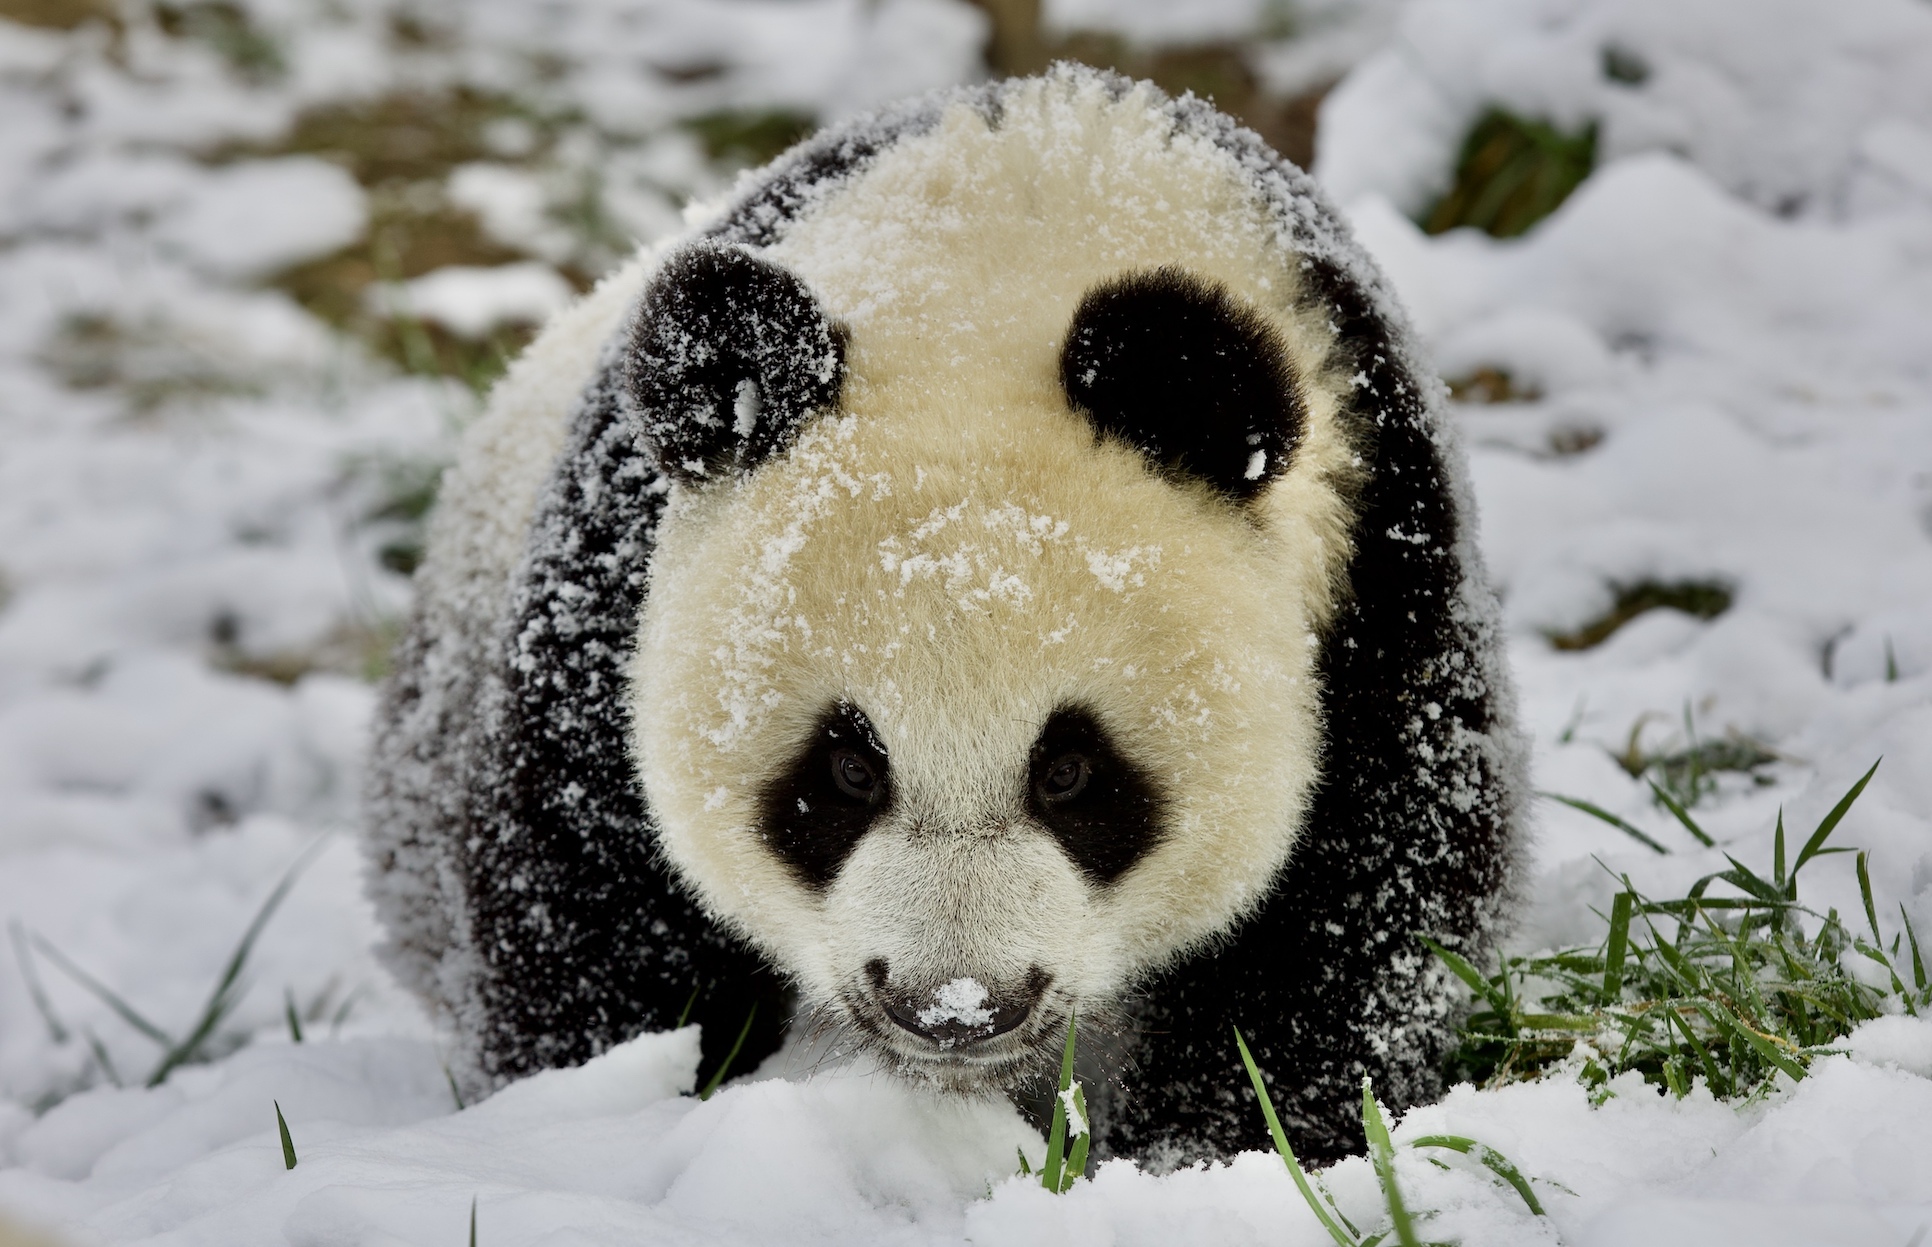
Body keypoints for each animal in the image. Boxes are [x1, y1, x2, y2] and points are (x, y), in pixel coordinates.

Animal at [369, 65, 1530, 1167]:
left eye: (1072, 771)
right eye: (846, 768)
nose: (957, 1006)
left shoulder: (1379, 576)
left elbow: (1361, 921)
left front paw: (1216, 1147)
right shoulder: (601, 597)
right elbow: (586, 907)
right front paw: (602, 1113)